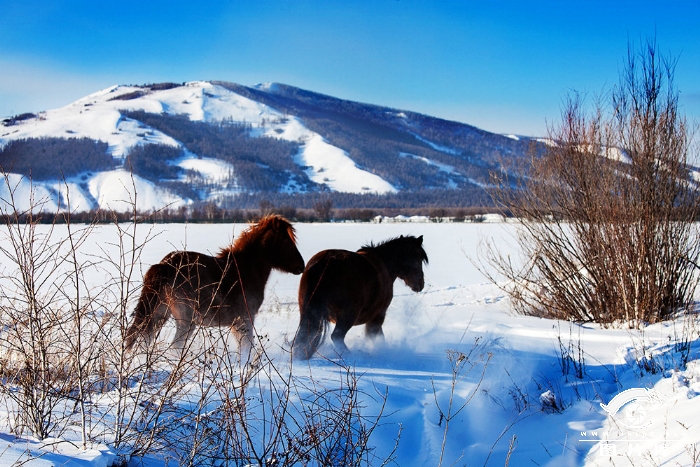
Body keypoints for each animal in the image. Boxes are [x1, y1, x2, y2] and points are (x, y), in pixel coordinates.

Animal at [125, 216, 304, 354]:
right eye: (286, 240)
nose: (301, 266)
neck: (243, 269)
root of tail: (164, 265)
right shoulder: (245, 319)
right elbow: (247, 348)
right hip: (185, 321)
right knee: (175, 346)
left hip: (158, 315)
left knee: (144, 338)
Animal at [294, 236, 430, 360]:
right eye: (419, 258)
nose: (420, 284)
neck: (385, 264)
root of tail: (326, 262)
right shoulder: (378, 315)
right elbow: (376, 336)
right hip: (348, 315)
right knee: (337, 336)